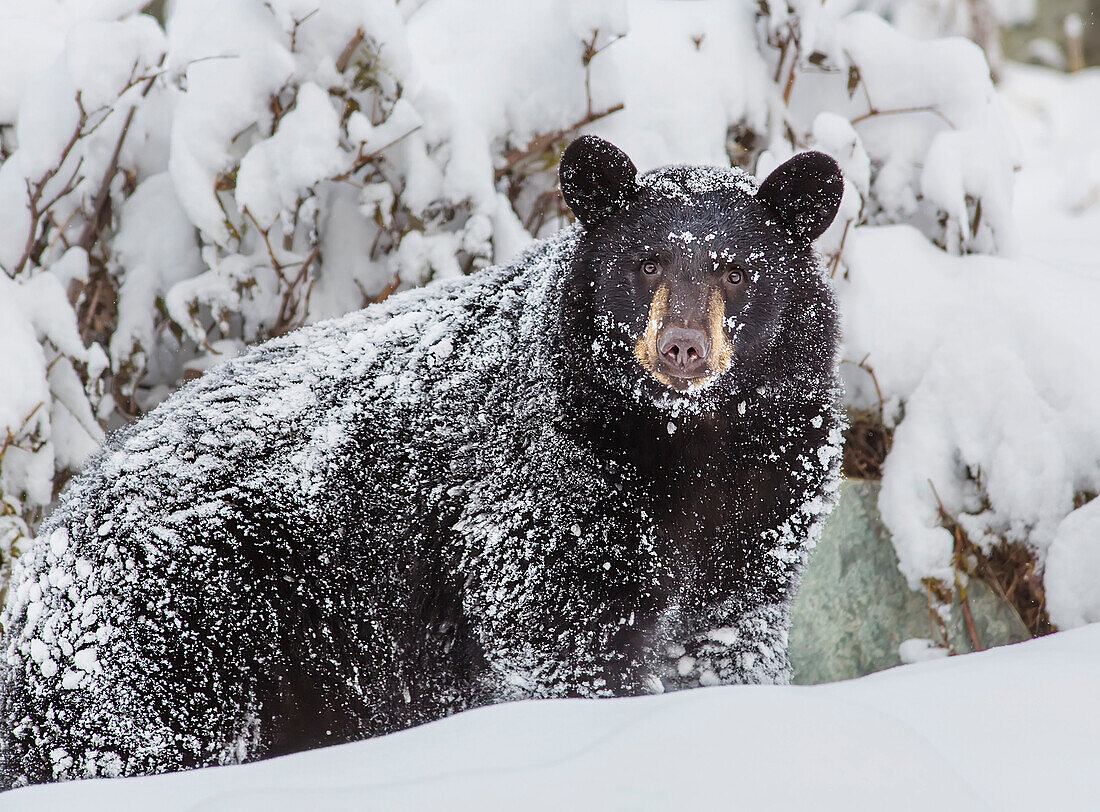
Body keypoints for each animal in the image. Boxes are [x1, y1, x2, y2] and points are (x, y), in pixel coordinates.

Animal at [0, 135, 844, 787]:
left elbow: (726, 637)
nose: (682, 347)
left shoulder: (766, 498)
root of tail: (36, 575)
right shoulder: (547, 483)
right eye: (646, 262)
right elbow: (563, 634)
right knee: (141, 734)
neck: (684, 441)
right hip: (179, 616)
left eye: (736, 269)